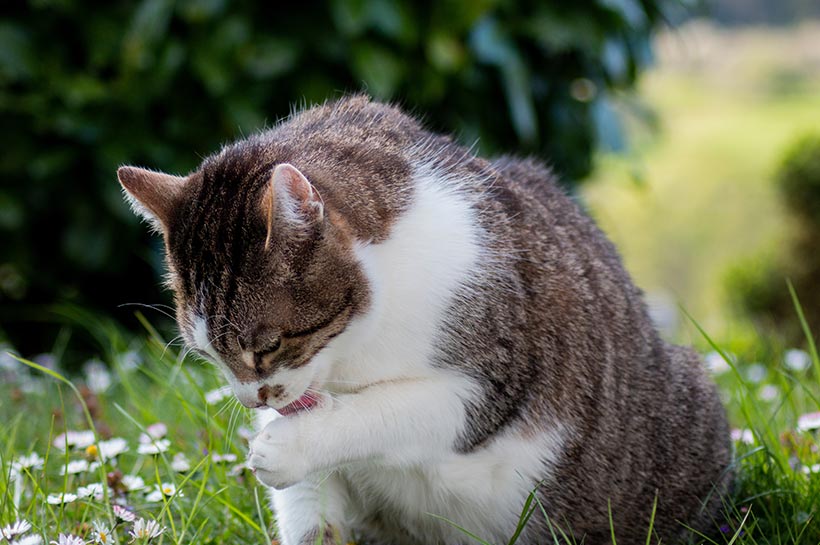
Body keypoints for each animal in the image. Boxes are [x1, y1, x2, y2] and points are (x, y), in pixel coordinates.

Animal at [118, 96, 732, 544]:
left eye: (266, 346)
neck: (356, 349)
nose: (252, 401)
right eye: (207, 355)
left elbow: (392, 410)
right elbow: (313, 511)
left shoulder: (493, 381)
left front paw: (288, 444)